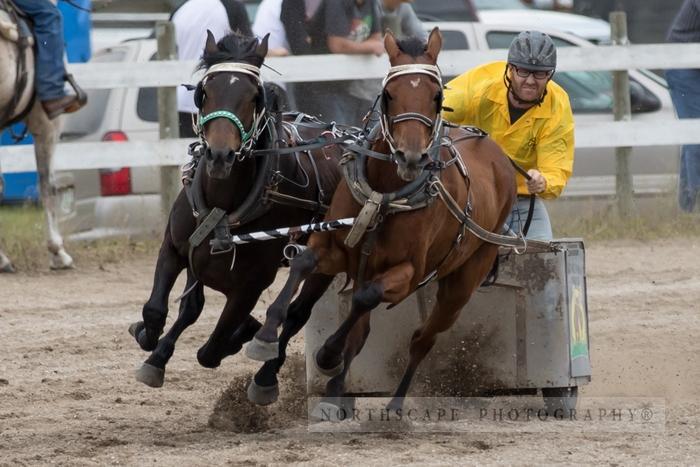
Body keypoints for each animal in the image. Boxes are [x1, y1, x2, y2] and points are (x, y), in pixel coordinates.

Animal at [127, 31, 346, 390]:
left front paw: (248, 333)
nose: (220, 156)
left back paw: (267, 375)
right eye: (205, 92)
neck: (225, 203)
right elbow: (157, 310)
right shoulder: (175, 247)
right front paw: (150, 345)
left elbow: (212, 349)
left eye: (254, 96)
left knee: (298, 313)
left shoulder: (250, 287)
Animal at [245, 28, 516, 414]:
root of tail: (497, 155)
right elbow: (304, 264)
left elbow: (366, 300)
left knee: (422, 339)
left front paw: (328, 356)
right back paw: (335, 393)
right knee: (366, 328)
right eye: (390, 94)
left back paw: (393, 404)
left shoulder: (408, 273)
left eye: (437, 96)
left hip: (462, 283)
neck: (386, 195)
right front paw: (266, 341)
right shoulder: (334, 247)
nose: (411, 157)